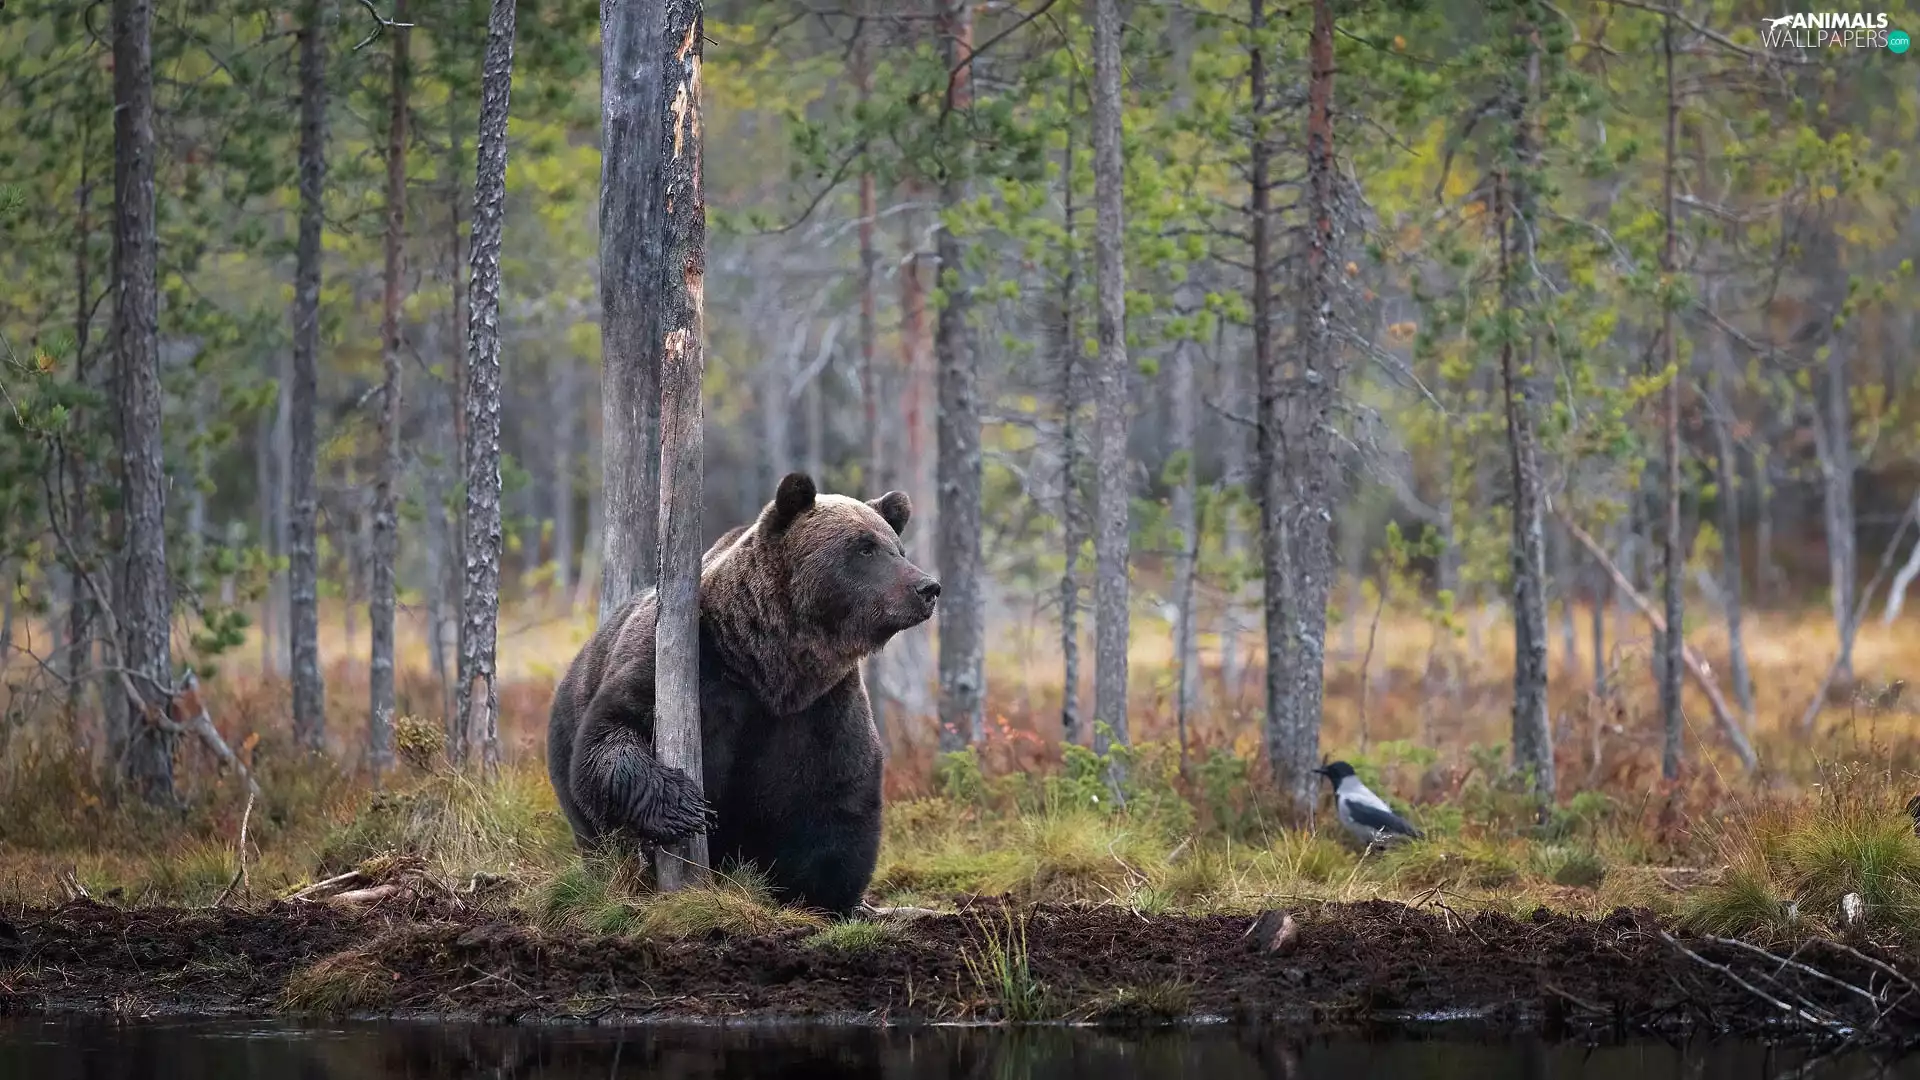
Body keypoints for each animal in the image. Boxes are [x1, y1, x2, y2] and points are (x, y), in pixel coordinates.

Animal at [545, 472, 940, 917]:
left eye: (897, 547)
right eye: (865, 547)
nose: (927, 587)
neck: (767, 663)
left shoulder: (819, 707)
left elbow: (838, 795)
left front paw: (832, 897)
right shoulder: (689, 663)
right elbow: (610, 734)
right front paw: (683, 807)